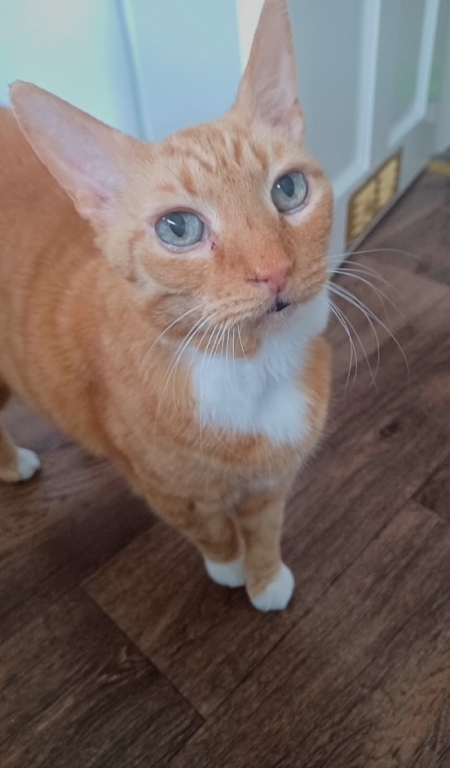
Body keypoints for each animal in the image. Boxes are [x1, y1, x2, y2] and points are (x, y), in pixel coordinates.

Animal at [0, 0, 333, 611]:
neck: (250, 366)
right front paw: (229, 569)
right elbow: (212, 530)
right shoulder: (165, 489)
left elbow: (265, 526)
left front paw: (266, 578)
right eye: (179, 228)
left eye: (290, 190)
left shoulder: (273, 480)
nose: (274, 270)